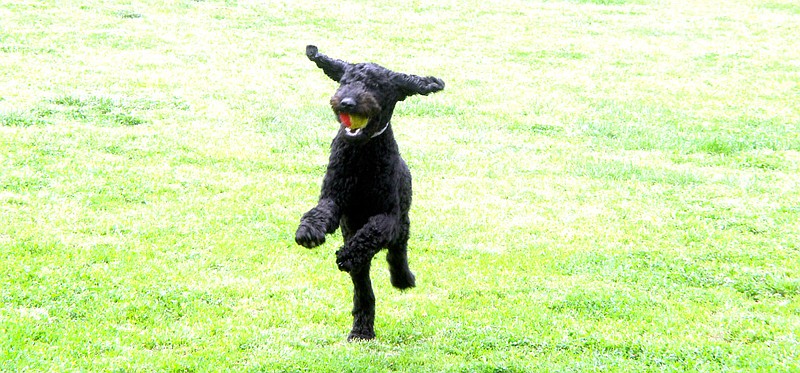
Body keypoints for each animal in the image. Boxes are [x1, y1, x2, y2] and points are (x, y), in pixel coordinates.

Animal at [294, 45, 444, 338]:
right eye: (344, 81)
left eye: (375, 86)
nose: (346, 103)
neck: (362, 153)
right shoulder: (334, 197)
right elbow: (319, 212)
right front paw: (308, 232)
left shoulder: (389, 216)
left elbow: (373, 231)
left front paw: (348, 254)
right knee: (363, 287)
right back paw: (362, 329)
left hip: (402, 223)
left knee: (397, 251)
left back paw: (402, 279)